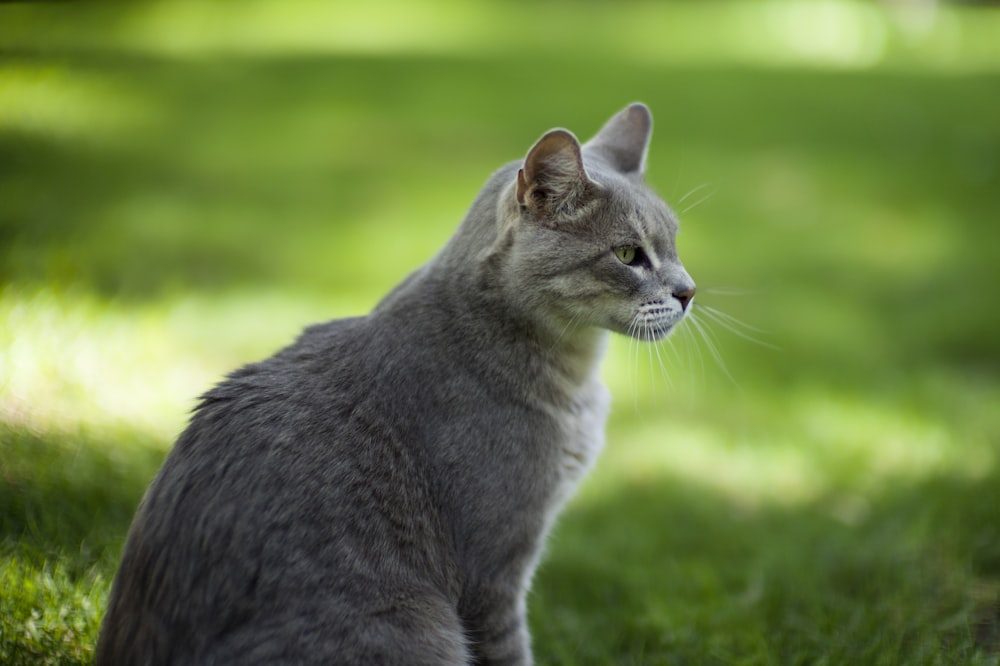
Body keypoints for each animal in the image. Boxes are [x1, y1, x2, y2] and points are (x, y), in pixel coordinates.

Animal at [99, 102, 696, 664]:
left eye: (674, 244)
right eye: (628, 254)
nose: (689, 291)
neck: (573, 373)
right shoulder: (494, 574)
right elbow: (510, 651)